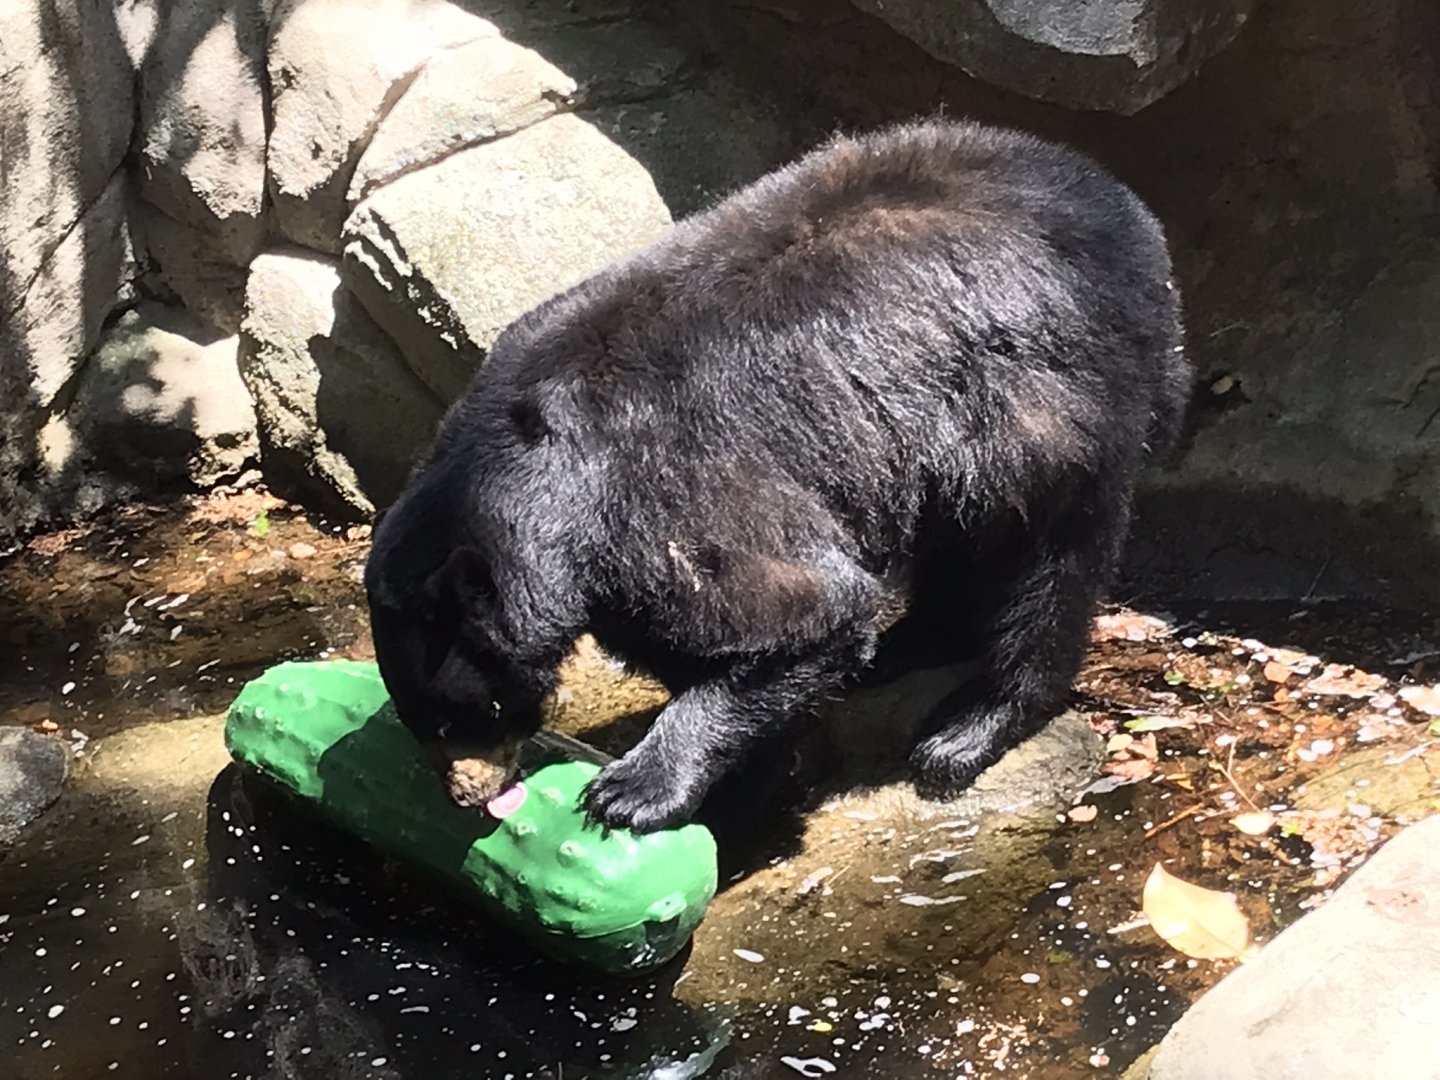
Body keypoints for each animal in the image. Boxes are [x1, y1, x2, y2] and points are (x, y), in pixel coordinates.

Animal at [364, 118, 1191, 834]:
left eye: (464, 712)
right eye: (422, 720)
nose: (467, 796)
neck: (539, 477)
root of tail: (1135, 220)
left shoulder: (663, 495)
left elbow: (805, 613)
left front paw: (636, 791)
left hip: (1047, 397)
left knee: (1048, 566)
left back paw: (970, 727)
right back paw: (911, 646)